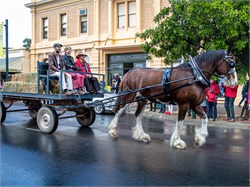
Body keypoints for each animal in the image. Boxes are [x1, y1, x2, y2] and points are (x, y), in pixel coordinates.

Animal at [108, 49, 237, 149]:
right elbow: (180, 122)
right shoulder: (184, 104)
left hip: (142, 100)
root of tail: (129, 72)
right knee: (119, 111)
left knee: (138, 115)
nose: (235, 82)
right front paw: (177, 142)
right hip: (129, 97)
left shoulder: (194, 105)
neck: (195, 75)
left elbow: (205, 118)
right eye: (231, 64)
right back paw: (113, 131)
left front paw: (200, 138)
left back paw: (142, 136)